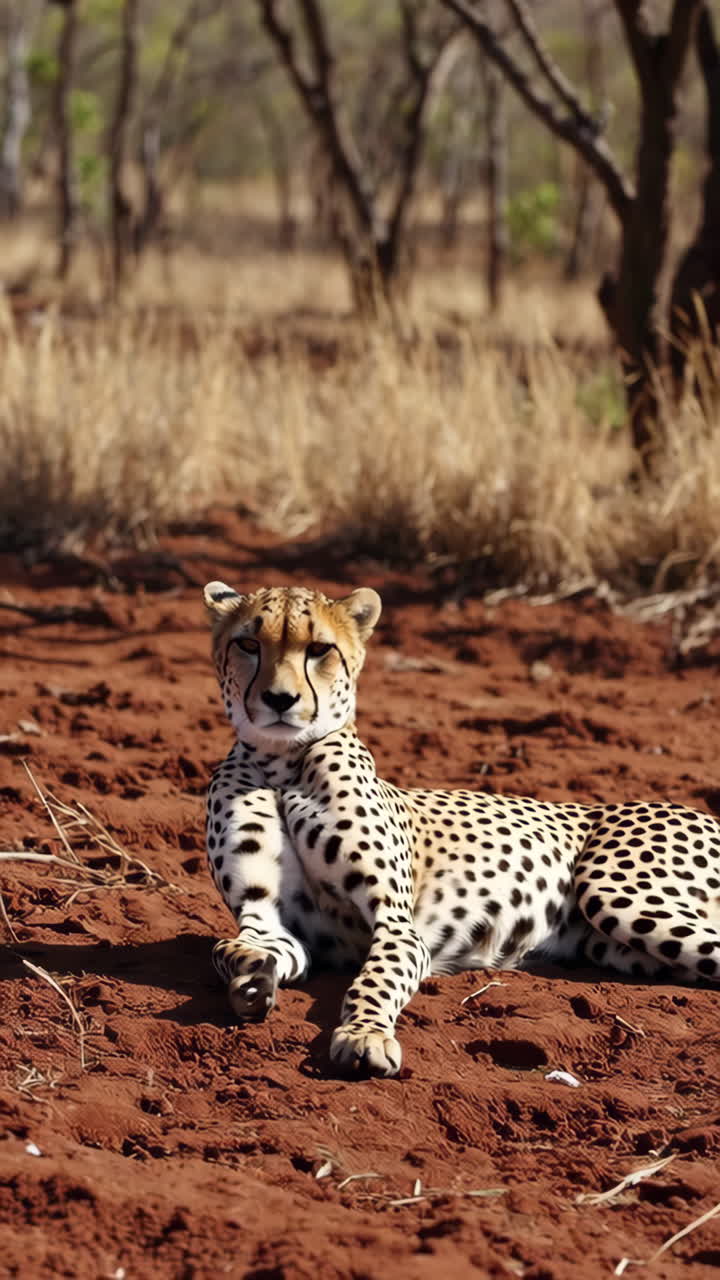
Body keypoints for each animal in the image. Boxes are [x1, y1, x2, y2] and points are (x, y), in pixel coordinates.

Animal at [203, 580, 720, 1077]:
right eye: (248, 643)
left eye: (319, 649)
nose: (280, 700)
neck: (281, 763)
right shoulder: (271, 921)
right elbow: (228, 948)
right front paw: (252, 976)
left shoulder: (397, 922)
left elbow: (373, 981)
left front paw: (365, 1035)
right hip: (615, 944)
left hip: (612, 893)